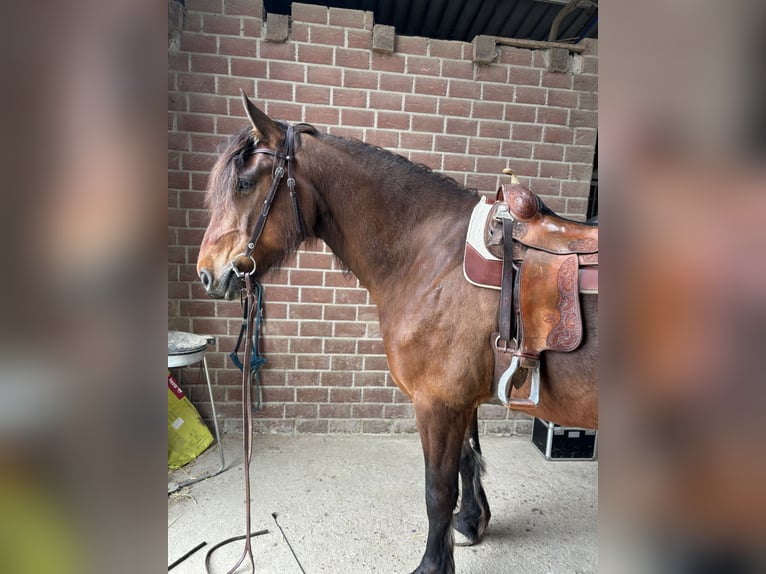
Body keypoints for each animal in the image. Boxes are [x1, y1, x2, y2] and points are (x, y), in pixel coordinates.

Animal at [194, 94, 600, 574]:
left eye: (243, 183)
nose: (207, 274)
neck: (435, 260)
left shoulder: (438, 403)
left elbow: (437, 491)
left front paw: (432, 564)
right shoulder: (459, 401)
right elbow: (468, 460)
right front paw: (470, 523)